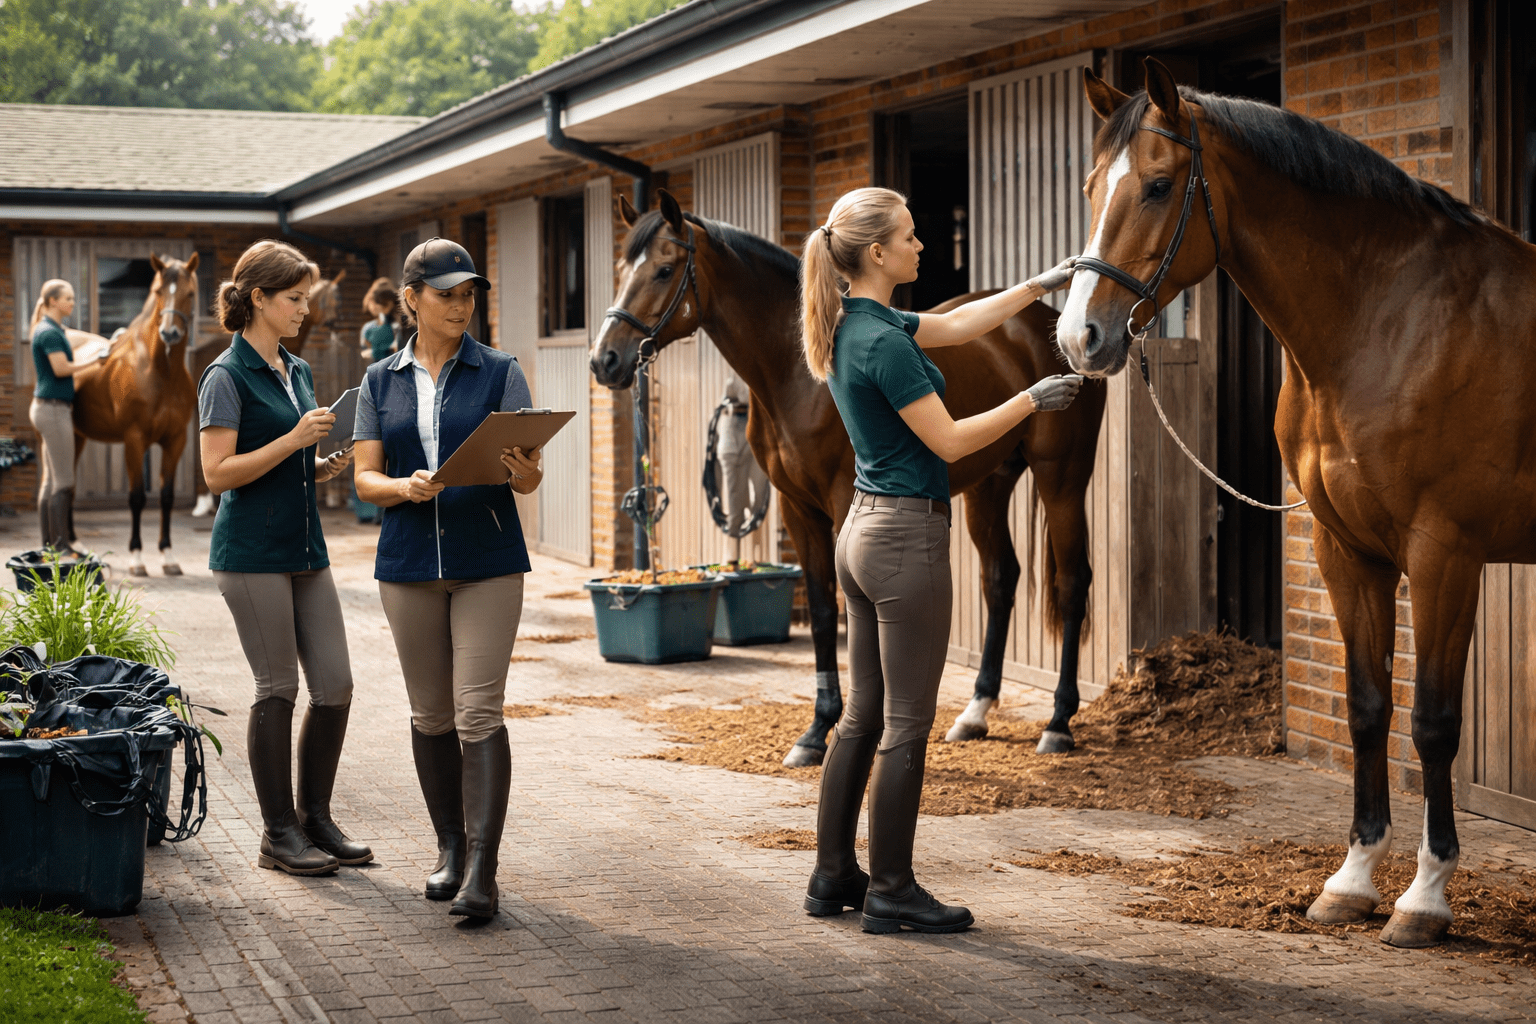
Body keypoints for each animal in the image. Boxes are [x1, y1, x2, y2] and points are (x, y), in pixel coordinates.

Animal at [72, 254, 200, 576]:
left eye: (190, 293)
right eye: (157, 291)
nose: (169, 333)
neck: (160, 372)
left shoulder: (175, 440)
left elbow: (166, 497)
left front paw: (168, 556)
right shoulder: (134, 439)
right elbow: (137, 497)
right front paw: (136, 557)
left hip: (79, 437)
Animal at [590, 189, 1106, 766]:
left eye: (662, 269)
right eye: (621, 270)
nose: (605, 360)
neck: (798, 372)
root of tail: (1047, 328)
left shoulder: (842, 503)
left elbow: (850, 610)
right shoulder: (797, 509)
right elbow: (819, 611)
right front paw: (816, 731)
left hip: (1062, 477)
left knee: (1072, 582)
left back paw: (1058, 723)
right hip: (989, 483)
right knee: (1000, 578)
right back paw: (975, 712)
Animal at [1055, 57, 1536, 949]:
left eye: (1158, 185)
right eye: (1090, 186)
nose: (1080, 339)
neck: (1388, 318)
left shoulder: (1445, 551)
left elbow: (1434, 722)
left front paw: (1425, 899)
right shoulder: (1346, 551)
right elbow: (1368, 709)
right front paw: (1351, 881)